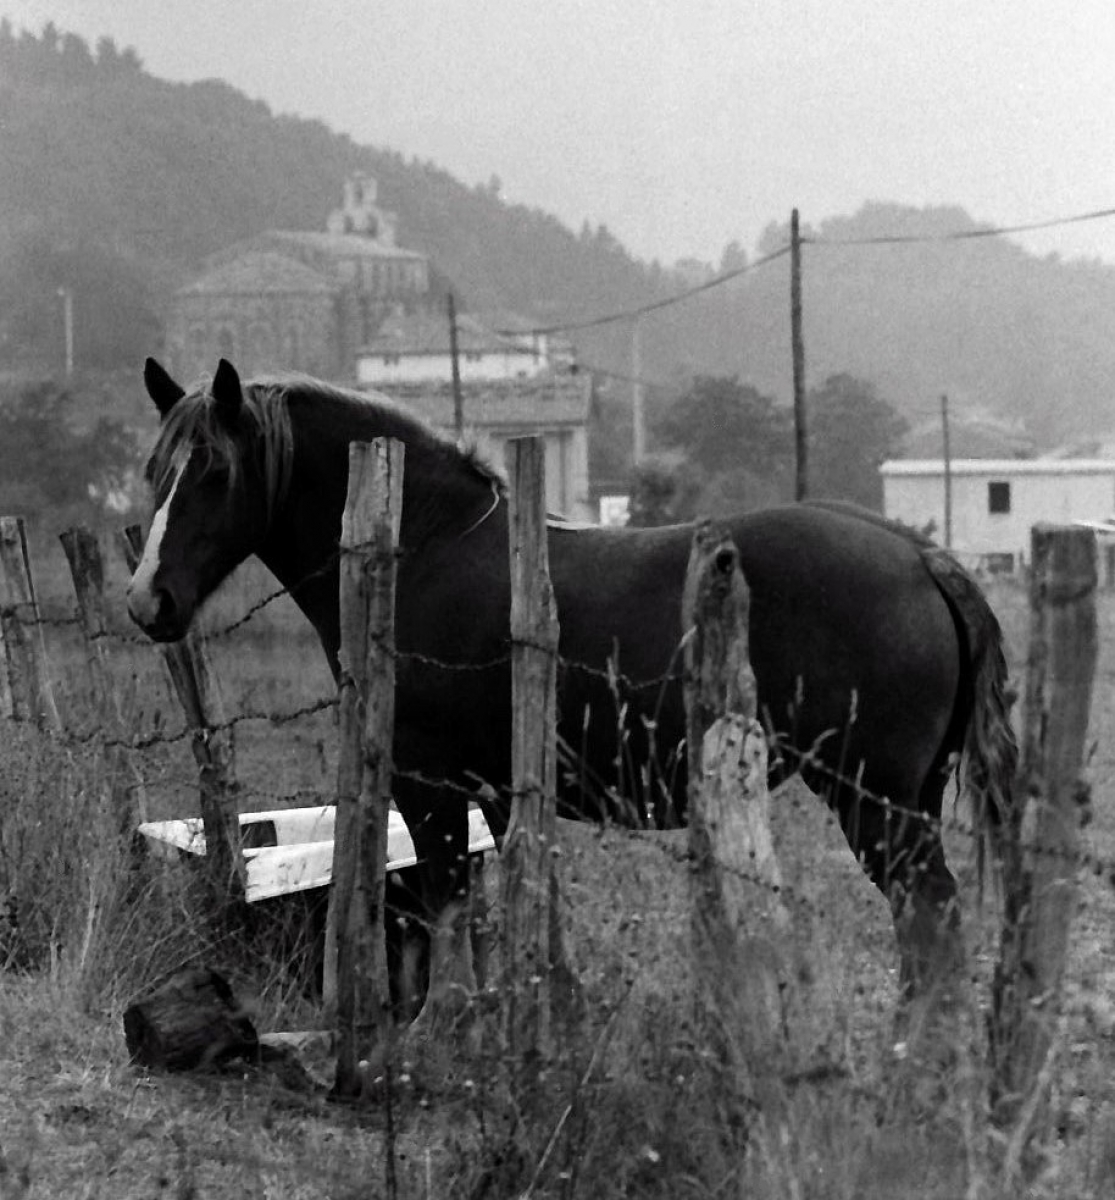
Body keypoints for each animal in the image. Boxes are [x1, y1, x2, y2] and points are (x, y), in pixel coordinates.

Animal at [126, 357, 1012, 1022]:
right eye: (154, 470)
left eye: (214, 471)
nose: (147, 601)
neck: (425, 548)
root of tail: (921, 557)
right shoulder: (498, 789)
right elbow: (525, 903)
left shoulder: (431, 783)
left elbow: (447, 907)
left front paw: (444, 1035)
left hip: (875, 802)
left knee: (928, 914)